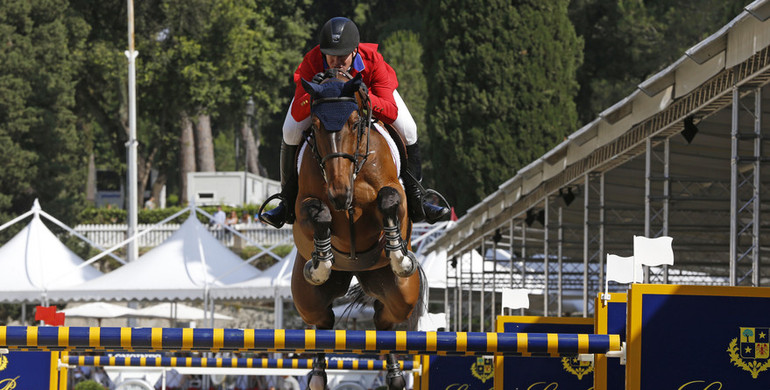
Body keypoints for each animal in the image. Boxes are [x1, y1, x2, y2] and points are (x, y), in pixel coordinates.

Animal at [292, 71, 426, 390]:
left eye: (355, 123)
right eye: (316, 125)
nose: (340, 194)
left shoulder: (397, 199)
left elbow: (389, 199)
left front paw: (399, 257)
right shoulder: (303, 207)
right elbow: (318, 213)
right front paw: (322, 262)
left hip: (400, 292)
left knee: (384, 320)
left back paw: (395, 375)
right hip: (306, 298)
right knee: (323, 321)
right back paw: (318, 375)